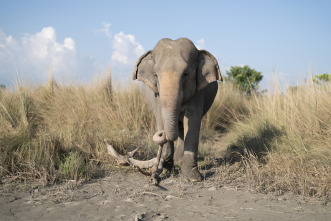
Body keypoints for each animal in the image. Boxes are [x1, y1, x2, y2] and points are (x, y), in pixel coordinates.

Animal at [132, 37, 223, 181]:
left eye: (186, 74)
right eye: (155, 74)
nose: (162, 133)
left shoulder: (198, 91)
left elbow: (192, 120)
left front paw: (192, 178)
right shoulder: (156, 94)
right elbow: (161, 117)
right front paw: (167, 170)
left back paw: (179, 160)